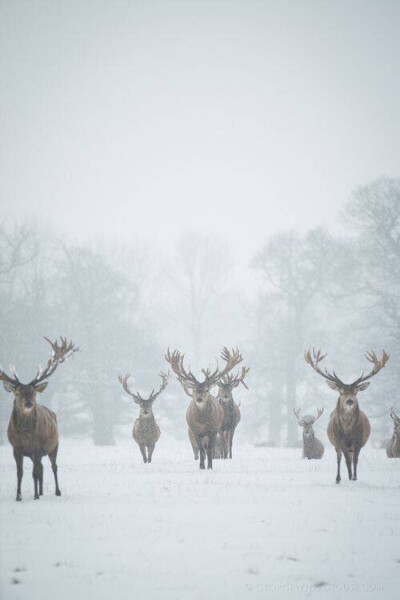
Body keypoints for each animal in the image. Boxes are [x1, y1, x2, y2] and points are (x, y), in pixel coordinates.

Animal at [306, 346, 388, 482]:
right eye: (341, 392)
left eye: (355, 392)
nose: (349, 401)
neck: (349, 431)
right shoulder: (340, 441)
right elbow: (347, 461)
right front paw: (349, 478)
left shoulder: (359, 442)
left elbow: (355, 461)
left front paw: (354, 478)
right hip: (336, 445)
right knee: (339, 459)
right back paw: (338, 478)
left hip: (351, 447)